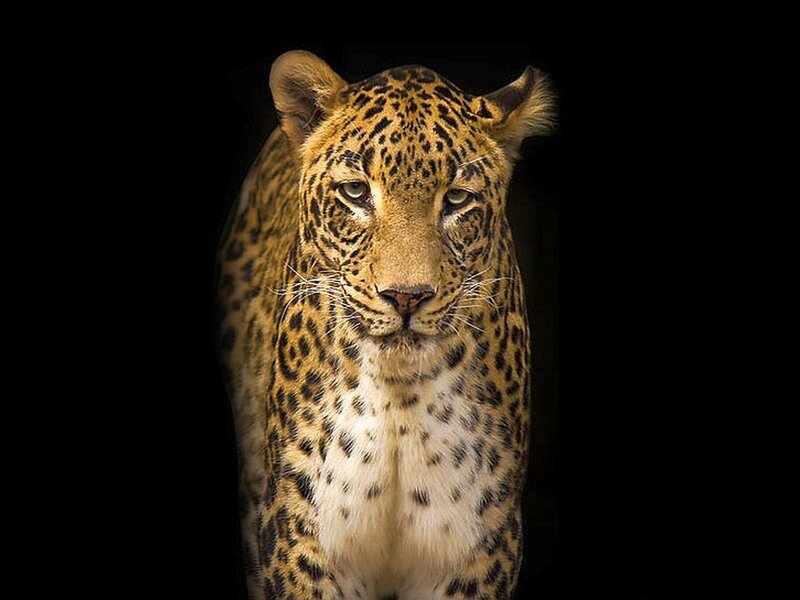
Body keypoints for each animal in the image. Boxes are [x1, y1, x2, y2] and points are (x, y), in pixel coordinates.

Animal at [217, 50, 555, 599]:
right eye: (356, 192)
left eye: (456, 200)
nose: (406, 297)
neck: (400, 397)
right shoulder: (300, 537)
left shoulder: (480, 547)